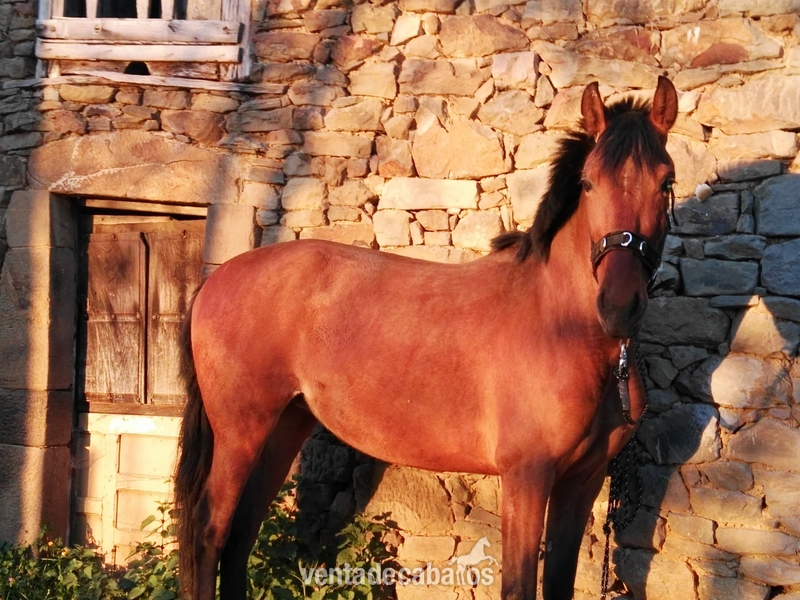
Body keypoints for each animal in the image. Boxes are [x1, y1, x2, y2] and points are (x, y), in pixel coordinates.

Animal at [175, 76, 678, 600]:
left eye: (666, 182)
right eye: (588, 182)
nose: (619, 306)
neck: (565, 330)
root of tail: (217, 278)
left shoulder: (583, 481)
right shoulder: (527, 476)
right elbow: (519, 585)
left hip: (284, 425)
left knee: (241, 535)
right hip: (240, 432)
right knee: (210, 533)